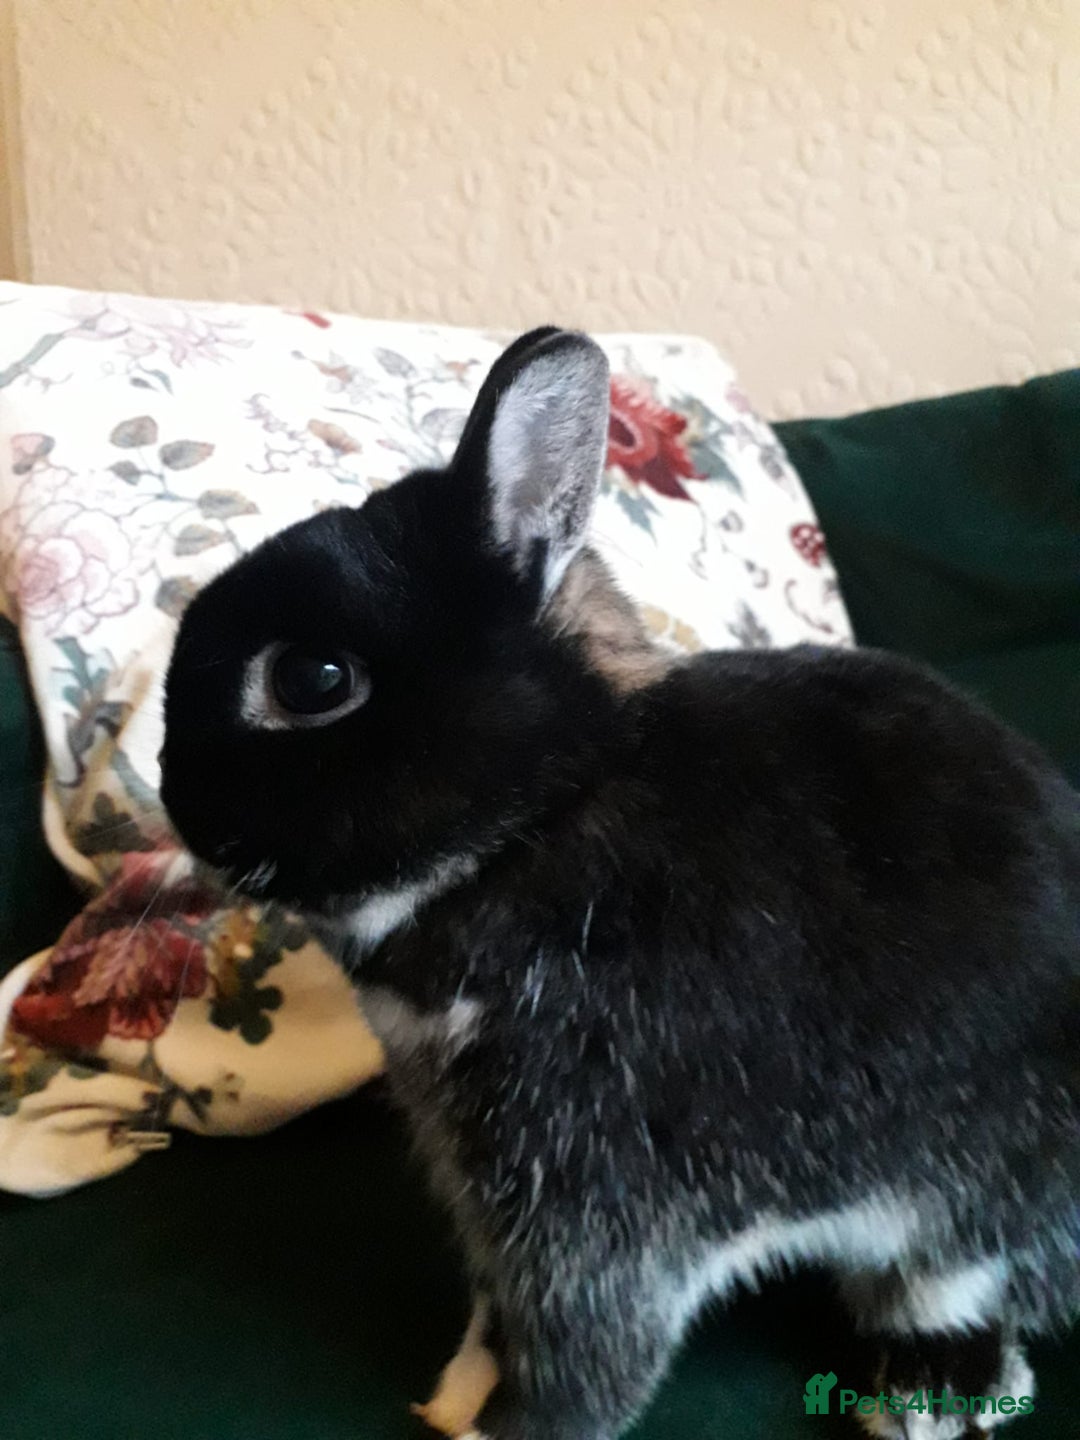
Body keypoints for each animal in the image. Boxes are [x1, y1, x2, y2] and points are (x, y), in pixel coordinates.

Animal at [161, 327, 1080, 1440]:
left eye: (312, 681)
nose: (174, 802)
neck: (536, 820)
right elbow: (501, 1309)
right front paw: (458, 1388)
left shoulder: (593, 1180)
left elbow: (590, 1347)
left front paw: (505, 1431)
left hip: (980, 1181)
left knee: (960, 1282)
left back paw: (923, 1393)